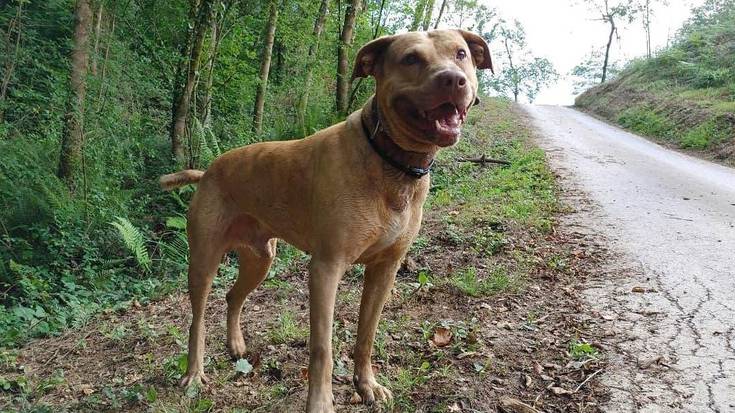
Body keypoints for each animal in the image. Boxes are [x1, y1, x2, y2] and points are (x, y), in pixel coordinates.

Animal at [162, 29, 494, 412]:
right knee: (197, 318)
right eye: (411, 58)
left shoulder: (385, 269)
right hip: (204, 259)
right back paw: (194, 373)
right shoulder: (326, 268)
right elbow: (322, 346)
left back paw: (236, 346)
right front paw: (321, 402)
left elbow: (367, 333)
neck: (390, 161)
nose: (452, 80)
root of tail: (207, 172)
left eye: (461, 54)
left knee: (233, 296)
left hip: (260, 259)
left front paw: (367, 385)